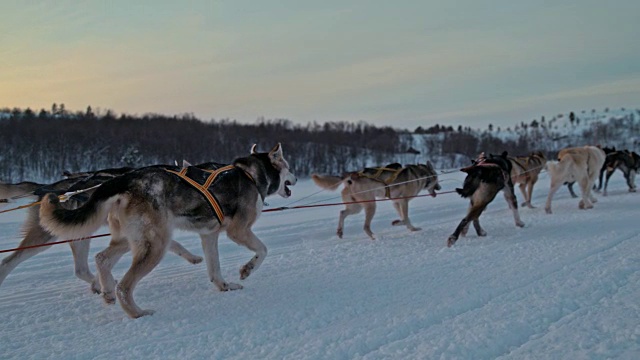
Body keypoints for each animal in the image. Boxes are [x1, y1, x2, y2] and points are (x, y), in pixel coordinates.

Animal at [0, 168, 204, 290]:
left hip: (79, 235)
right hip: (46, 237)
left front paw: (192, 257)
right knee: (8, 262)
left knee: (80, 270)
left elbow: (174, 244)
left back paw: (99, 284)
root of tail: (47, 187)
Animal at [39, 143, 298, 318]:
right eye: (289, 167)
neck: (251, 174)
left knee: (102, 258)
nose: (295, 179)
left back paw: (108, 292)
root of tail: (124, 180)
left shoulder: (209, 235)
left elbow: (214, 269)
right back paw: (137, 313)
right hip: (155, 245)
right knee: (125, 286)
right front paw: (246, 270)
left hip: (128, 240)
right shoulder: (238, 230)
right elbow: (262, 250)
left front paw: (225, 286)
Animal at [310, 162, 440, 239]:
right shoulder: (403, 202)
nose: (440, 187)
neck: (421, 175)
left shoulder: (396, 203)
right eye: (437, 178)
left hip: (356, 207)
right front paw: (398, 223)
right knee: (365, 226)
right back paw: (374, 237)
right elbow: (405, 218)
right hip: (371, 205)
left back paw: (340, 231)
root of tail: (349, 177)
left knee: (342, 213)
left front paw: (412, 228)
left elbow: (405, 218)